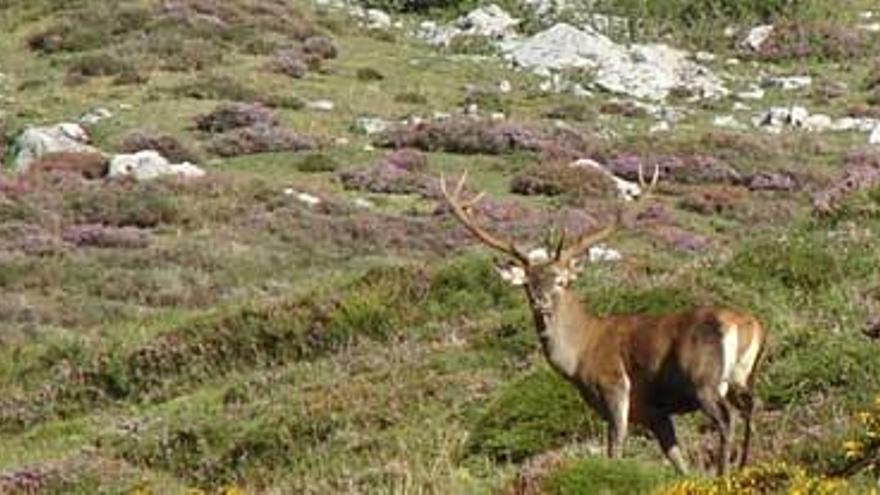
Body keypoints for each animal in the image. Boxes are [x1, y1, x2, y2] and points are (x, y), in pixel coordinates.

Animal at [440, 170, 764, 476]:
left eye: (560, 281)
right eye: (528, 284)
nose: (540, 302)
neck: (581, 353)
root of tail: (747, 324)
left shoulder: (614, 386)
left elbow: (615, 448)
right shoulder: (655, 412)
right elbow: (677, 460)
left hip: (703, 379)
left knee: (726, 419)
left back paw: (724, 473)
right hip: (742, 376)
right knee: (750, 409)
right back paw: (743, 468)